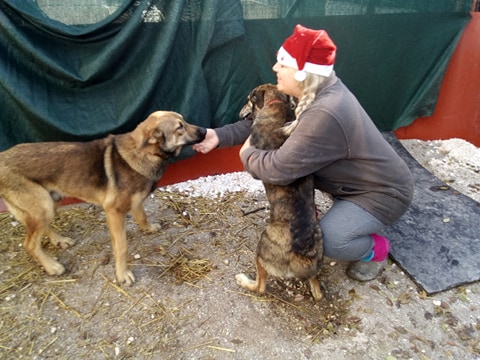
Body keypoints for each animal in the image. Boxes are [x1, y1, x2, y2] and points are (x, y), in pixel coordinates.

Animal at [0, 111, 206, 286]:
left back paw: (59, 240)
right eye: (180, 127)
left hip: (50, 202)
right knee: (30, 244)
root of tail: (2, 157)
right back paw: (51, 266)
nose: (205, 130)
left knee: (43, 229)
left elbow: (142, 216)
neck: (146, 153)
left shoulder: (136, 201)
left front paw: (148, 228)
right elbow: (122, 247)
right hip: (42, 206)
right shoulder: (113, 212)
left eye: (184, 121)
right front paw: (122, 274)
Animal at [234, 84, 324, 300]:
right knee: (317, 289)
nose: (239, 113)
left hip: (261, 250)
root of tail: (300, 254)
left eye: (248, 99)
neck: (277, 104)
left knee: (260, 287)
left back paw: (244, 280)